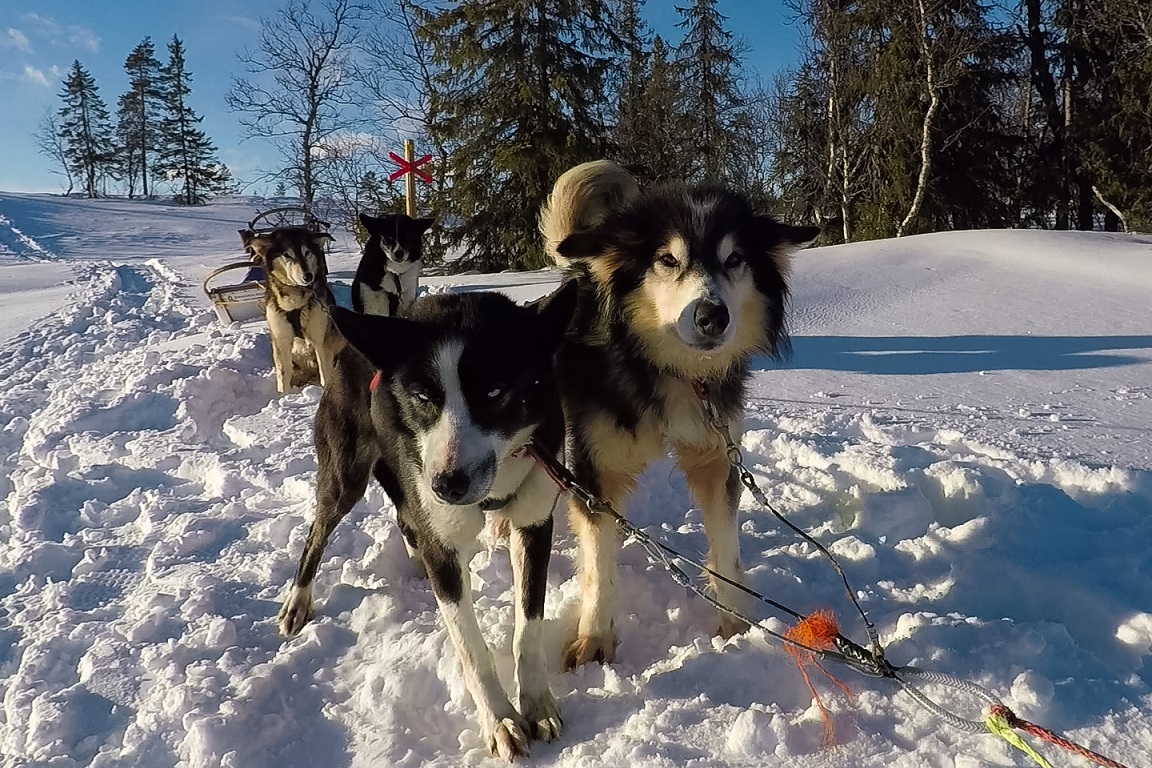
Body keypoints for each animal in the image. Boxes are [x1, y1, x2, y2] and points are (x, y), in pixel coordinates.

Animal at [233, 226, 340, 396]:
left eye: (307, 252)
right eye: (287, 254)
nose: (308, 275)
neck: (294, 302)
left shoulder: (320, 340)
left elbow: (325, 374)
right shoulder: (281, 339)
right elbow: (283, 374)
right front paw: (283, 396)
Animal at [275, 282, 580, 764]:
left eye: (495, 391)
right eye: (422, 396)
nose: (447, 485)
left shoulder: (534, 525)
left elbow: (527, 628)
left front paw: (536, 703)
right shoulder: (444, 539)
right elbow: (471, 648)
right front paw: (501, 721)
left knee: (406, 519)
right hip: (345, 478)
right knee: (318, 535)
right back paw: (297, 601)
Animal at [539, 158, 820, 667]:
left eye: (734, 259)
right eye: (667, 260)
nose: (712, 316)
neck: (670, 371)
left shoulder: (716, 454)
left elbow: (725, 546)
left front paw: (735, 627)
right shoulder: (594, 467)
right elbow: (598, 563)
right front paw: (595, 636)